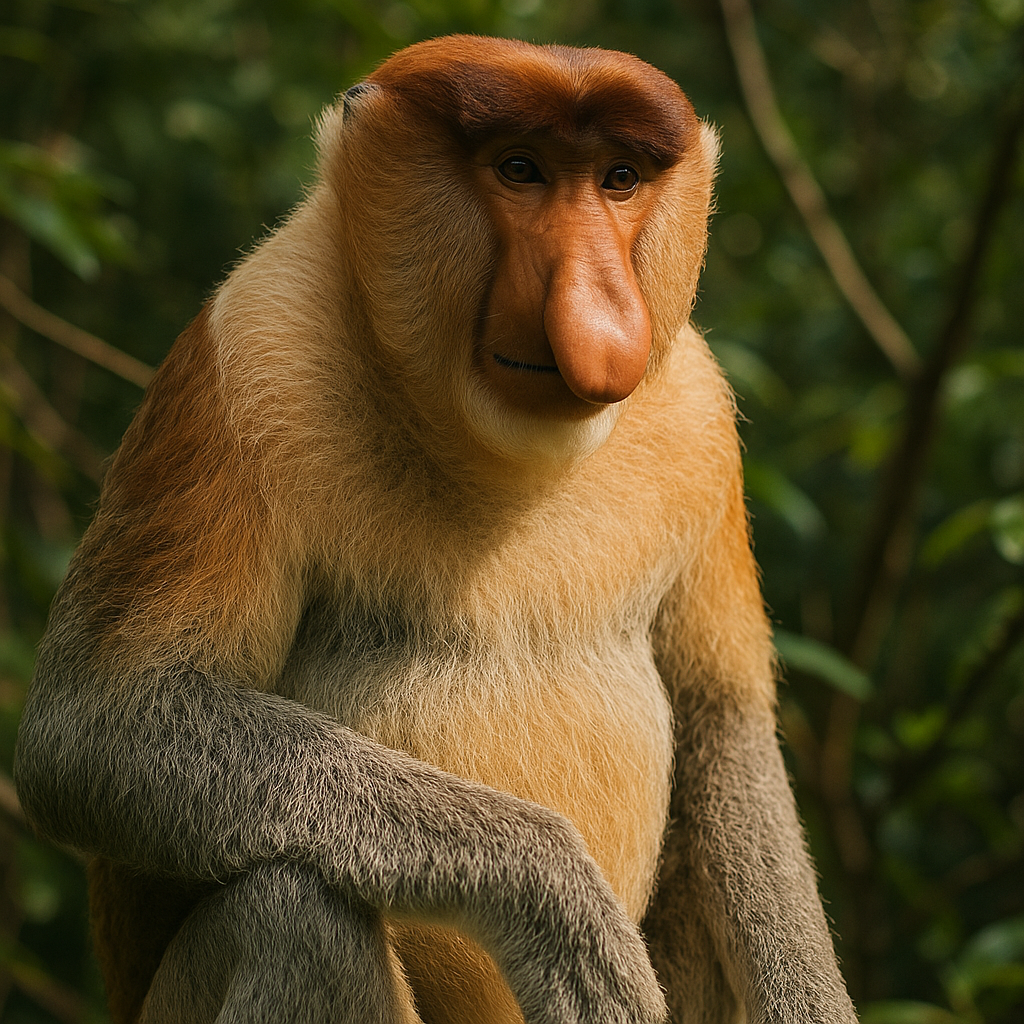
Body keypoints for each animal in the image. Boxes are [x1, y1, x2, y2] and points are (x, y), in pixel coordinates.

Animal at [14, 35, 858, 1024]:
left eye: (619, 178)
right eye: (520, 170)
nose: (604, 315)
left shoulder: (696, 411)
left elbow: (723, 721)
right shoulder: (249, 357)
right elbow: (98, 722)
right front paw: (568, 927)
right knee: (290, 913)